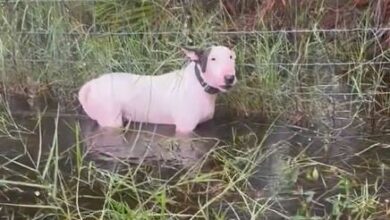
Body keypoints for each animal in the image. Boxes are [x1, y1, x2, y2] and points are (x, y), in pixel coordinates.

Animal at [77, 45, 236, 135]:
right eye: (212, 59)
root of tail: (91, 84)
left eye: (231, 57)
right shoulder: (184, 129)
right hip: (111, 120)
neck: (199, 84)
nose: (230, 78)